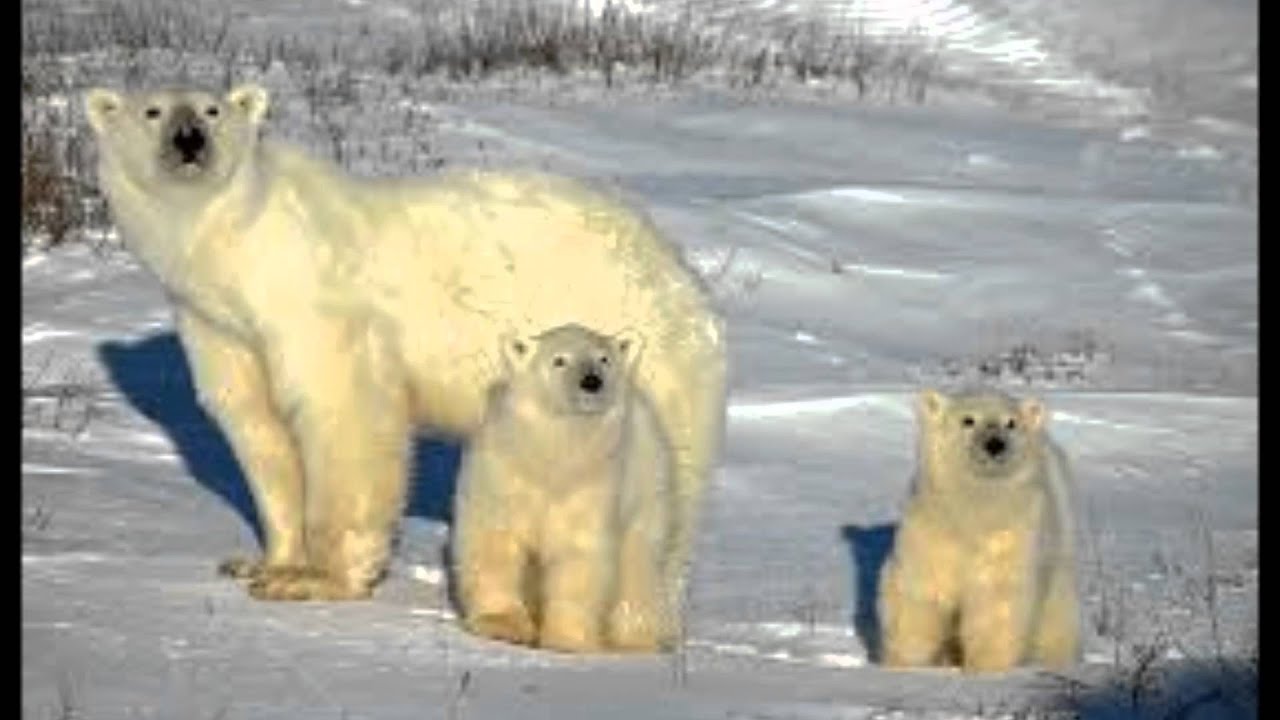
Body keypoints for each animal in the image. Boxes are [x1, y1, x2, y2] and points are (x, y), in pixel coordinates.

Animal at [85, 82, 732, 609]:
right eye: (153, 110)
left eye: (212, 109)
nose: (189, 140)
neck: (236, 247)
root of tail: (677, 270)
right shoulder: (219, 326)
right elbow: (256, 426)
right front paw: (261, 563)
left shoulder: (315, 299)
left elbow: (344, 413)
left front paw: (316, 579)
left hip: (638, 358)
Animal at [458, 322, 680, 648]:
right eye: (559, 360)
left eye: (603, 358)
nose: (592, 381)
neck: (554, 463)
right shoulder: (504, 478)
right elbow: (495, 543)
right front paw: (501, 625)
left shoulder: (594, 486)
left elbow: (579, 557)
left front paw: (567, 639)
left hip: (649, 490)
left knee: (639, 563)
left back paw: (638, 637)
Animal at [875, 389, 1075, 671]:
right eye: (968, 420)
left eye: (1011, 423)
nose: (995, 444)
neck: (972, 512)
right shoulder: (932, 532)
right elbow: (920, 594)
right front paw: (904, 664)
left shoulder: (1012, 535)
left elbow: (997, 600)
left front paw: (987, 667)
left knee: (1058, 617)